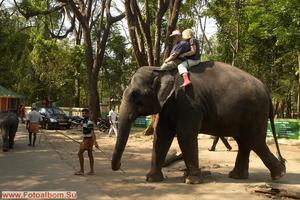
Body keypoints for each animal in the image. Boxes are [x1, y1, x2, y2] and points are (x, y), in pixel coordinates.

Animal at [110, 61, 286, 184]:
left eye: (135, 95)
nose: (119, 166)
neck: (161, 70)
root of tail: (266, 90)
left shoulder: (188, 102)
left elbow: (185, 135)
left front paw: (192, 181)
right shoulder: (169, 105)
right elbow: (161, 136)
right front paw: (151, 179)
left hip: (255, 112)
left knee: (255, 141)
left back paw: (279, 175)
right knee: (244, 142)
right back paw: (238, 176)